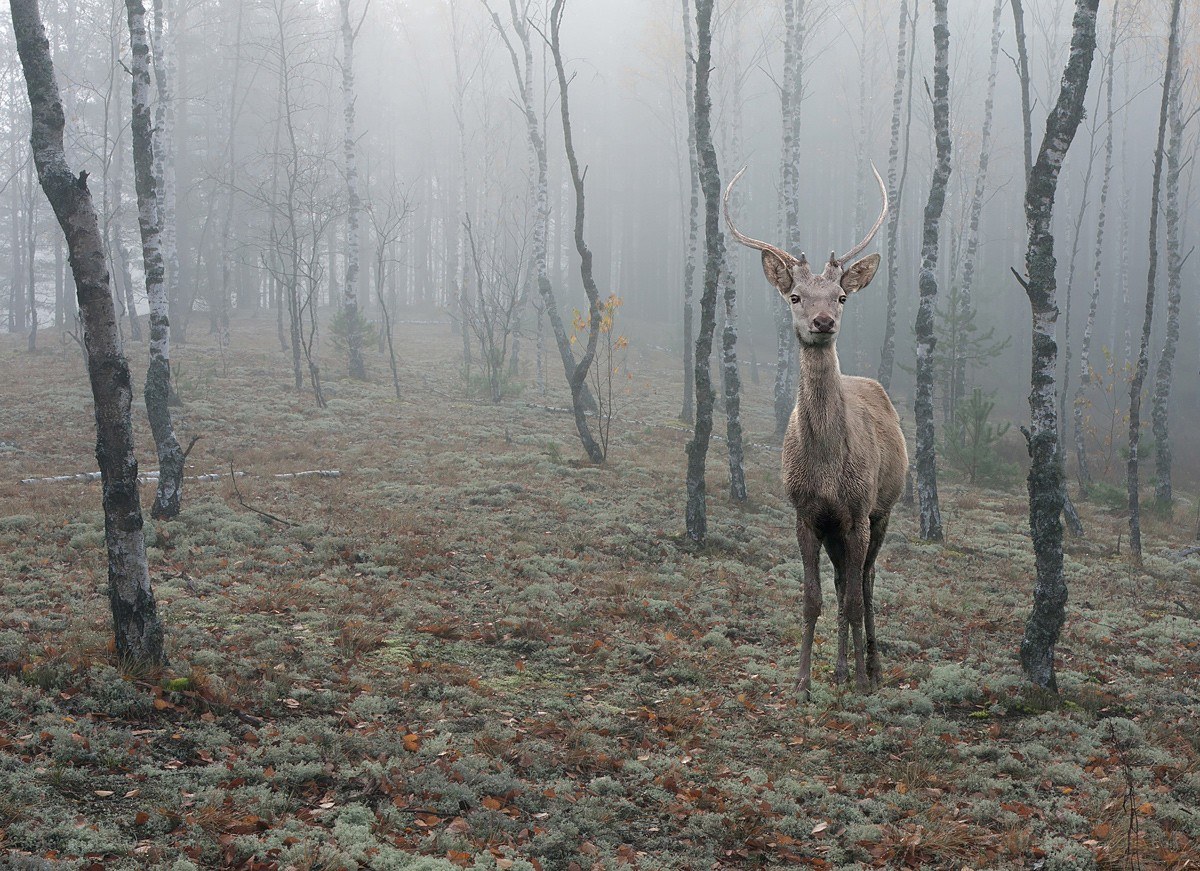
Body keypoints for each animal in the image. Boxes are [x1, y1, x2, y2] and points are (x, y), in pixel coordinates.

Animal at [725, 165, 907, 701]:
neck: (826, 468)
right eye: (795, 296)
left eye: (841, 296)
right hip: (836, 528)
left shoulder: (858, 511)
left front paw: (862, 680)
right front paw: (803, 681)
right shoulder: (807, 513)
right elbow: (812, 599)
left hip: (883, 510)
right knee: (844, 580)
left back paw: (870, 667)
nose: (823, 321)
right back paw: (842, 668)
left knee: (865, 582)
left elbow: (852, 597)